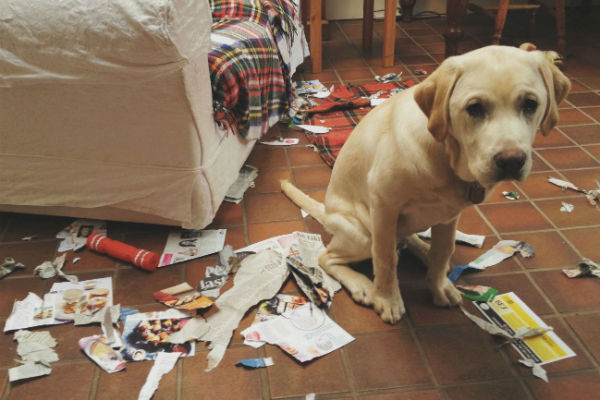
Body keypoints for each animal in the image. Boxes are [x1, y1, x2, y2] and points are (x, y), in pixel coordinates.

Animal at [284, 45, 568, 324]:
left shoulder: (450, 215)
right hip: (363, 232)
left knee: (406, 239)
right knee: (328, 257)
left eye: (530, 104)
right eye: (474, 108)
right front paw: (387, 298)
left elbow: (444, 250)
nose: (511, 161)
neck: (448, 156)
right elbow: (385, 258)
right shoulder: (384, 206)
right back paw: (362, 285)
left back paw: (423, 250)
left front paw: (439, 285)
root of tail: (327, 212)